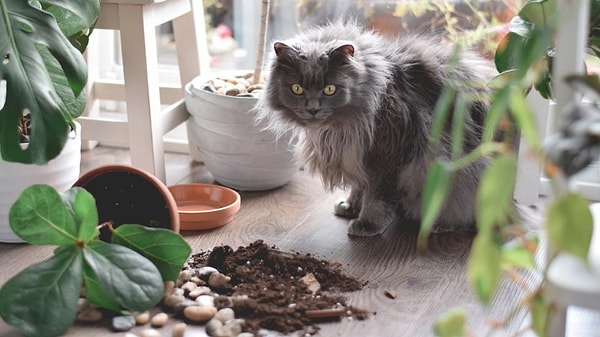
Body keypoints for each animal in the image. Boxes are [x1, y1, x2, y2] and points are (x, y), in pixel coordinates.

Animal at [258, 21, 496, 236]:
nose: (313, 109)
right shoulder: (356, 156)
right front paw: (350, 207)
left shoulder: (387, 157)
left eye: (330, 89)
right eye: (297, 89)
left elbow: (376, 199)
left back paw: (440, 225)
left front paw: (367, 224)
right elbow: (358, 187)